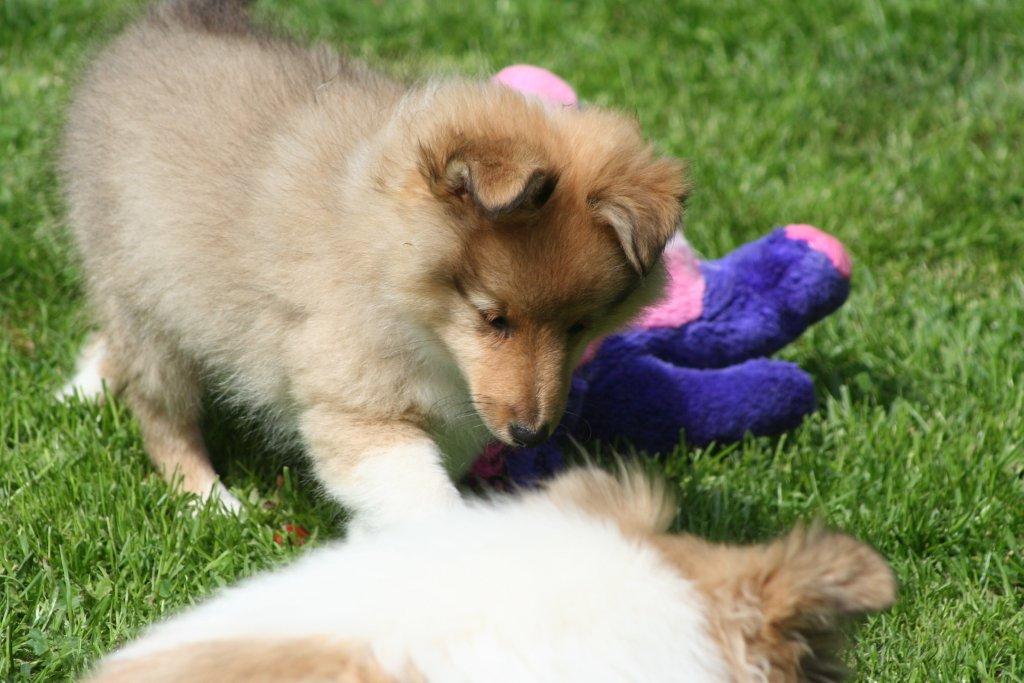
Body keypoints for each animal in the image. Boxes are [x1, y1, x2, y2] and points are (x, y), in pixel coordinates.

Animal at [59, 0, 688, 529]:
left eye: (581, 326)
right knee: (163, 415)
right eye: (493, 318)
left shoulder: (456, 417)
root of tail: (166, 20)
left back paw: (83, 387)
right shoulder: (355, 403)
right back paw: (211, 502)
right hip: (143, 286)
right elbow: (425, 498)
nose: (529, 436)